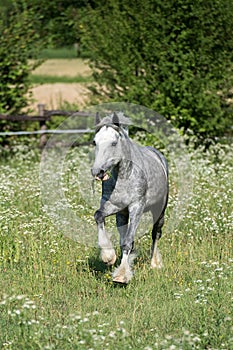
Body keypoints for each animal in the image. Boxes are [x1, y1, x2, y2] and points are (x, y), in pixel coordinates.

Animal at [90, 113, 168, 284]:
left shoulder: (136, 207)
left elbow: (127, 242)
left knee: (156, 233)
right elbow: (98, 215)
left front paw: (121, 276)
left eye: (114, 143)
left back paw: (154, 263)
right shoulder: (113, 206)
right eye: (94, 142)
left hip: (159, 209)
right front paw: (108, 257)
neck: (125, 175)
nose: (97, 171)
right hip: (122, 214)